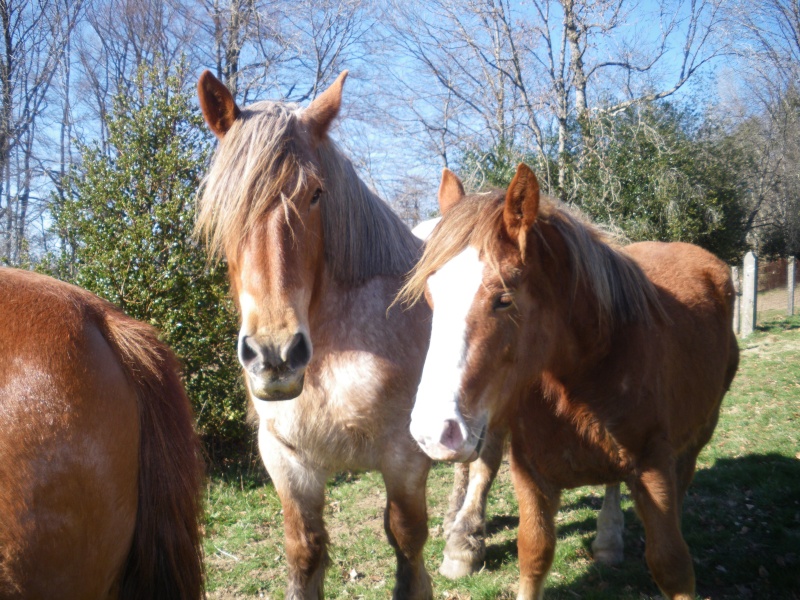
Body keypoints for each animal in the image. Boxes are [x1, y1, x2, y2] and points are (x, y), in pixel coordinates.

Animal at [404, 165, 740, 600]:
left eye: (504, 299)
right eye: (431, 297)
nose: (432, 433)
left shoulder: (654, 466)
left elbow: (671, 565)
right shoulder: (530, 472)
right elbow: (534, 553)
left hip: (696, 437)